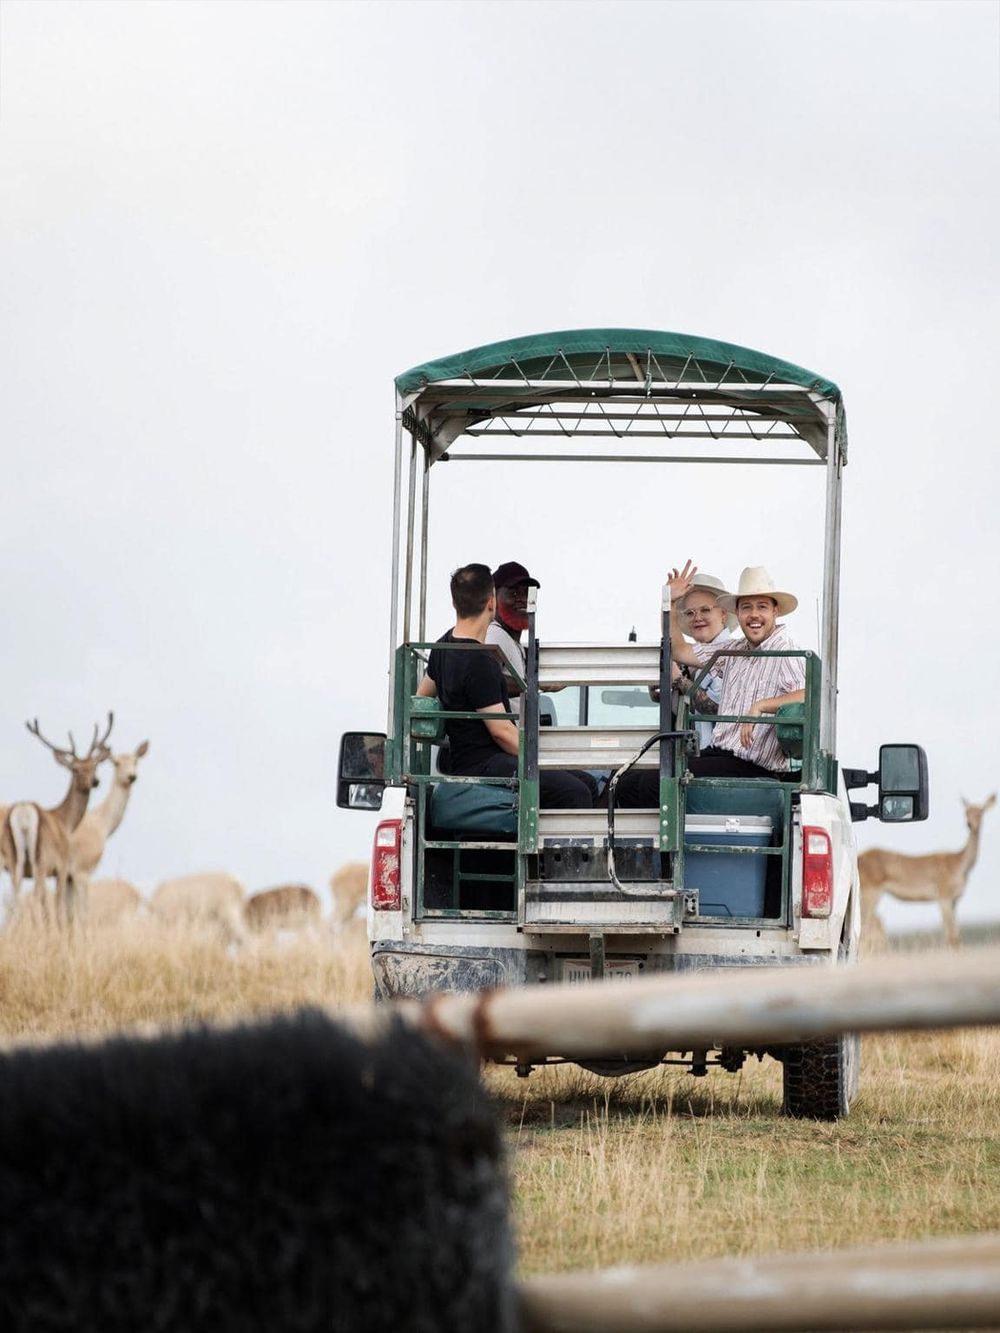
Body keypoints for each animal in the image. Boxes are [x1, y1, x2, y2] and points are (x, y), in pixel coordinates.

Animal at [2, 714, 114, 926]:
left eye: (94, 765)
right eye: (75, 769)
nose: (95, 781)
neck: (65, 820)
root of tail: (23, 810)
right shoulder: (61, 868)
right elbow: (60, 908)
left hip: (16, 863)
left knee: (15, 899)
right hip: (39, 862)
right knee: (36, 897)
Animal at [68, 740, 149, 917]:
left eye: (135, 761)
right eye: (116, 763)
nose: (131, 776)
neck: (102, 821)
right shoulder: (82, 871)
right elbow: (81, 911)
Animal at [859, 793, 996, 949]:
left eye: (981, 812)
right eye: (966, 812)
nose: (970, 824)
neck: (960, 864)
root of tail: (859, 856)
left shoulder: (954, 900)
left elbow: (955, 934)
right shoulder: (943, 896)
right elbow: (951, 935)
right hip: (871, 892)